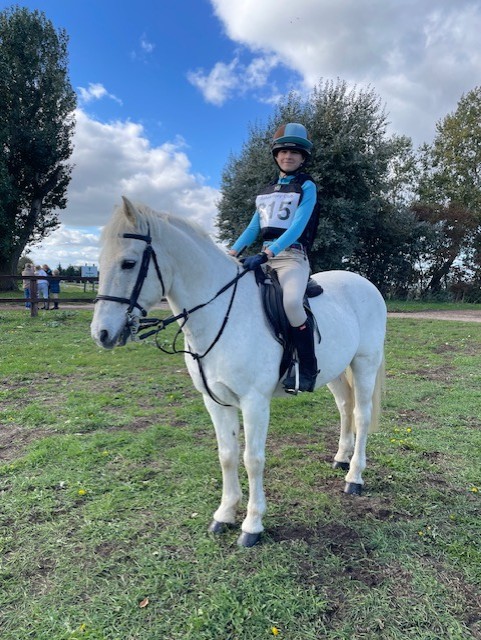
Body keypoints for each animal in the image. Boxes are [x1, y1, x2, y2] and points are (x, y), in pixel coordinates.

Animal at [91, 197, 387, 547]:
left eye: (128, 263)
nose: (102, 333)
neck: (221, 313)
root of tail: (365, 283)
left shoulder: (254, 402)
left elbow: (252, 459)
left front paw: (252, 525)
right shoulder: (215, 400)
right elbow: (228, 454)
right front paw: (224, 515)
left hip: (365, 363)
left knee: (361, 415)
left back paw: (354, 477)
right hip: (336, 370)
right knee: (345, 407)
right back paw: (341, 458)